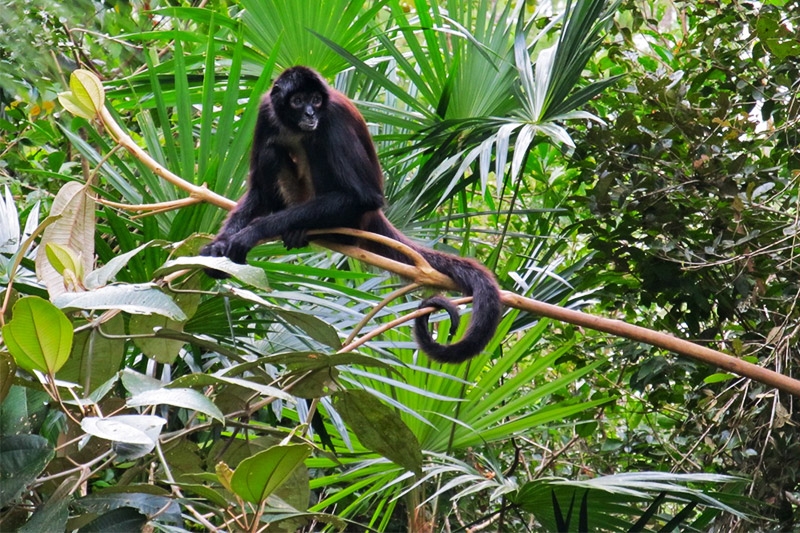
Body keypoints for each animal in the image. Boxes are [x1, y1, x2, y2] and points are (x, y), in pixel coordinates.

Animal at [201, 66, 501, 364]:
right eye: (298, 101)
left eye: (316, 101)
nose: (310, 114)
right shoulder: (266, 112)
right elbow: (259, 192)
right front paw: (217, 246)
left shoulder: (331, 118)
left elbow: (364, 195)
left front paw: (253, 232)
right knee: (272, 151)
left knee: (314, 147)